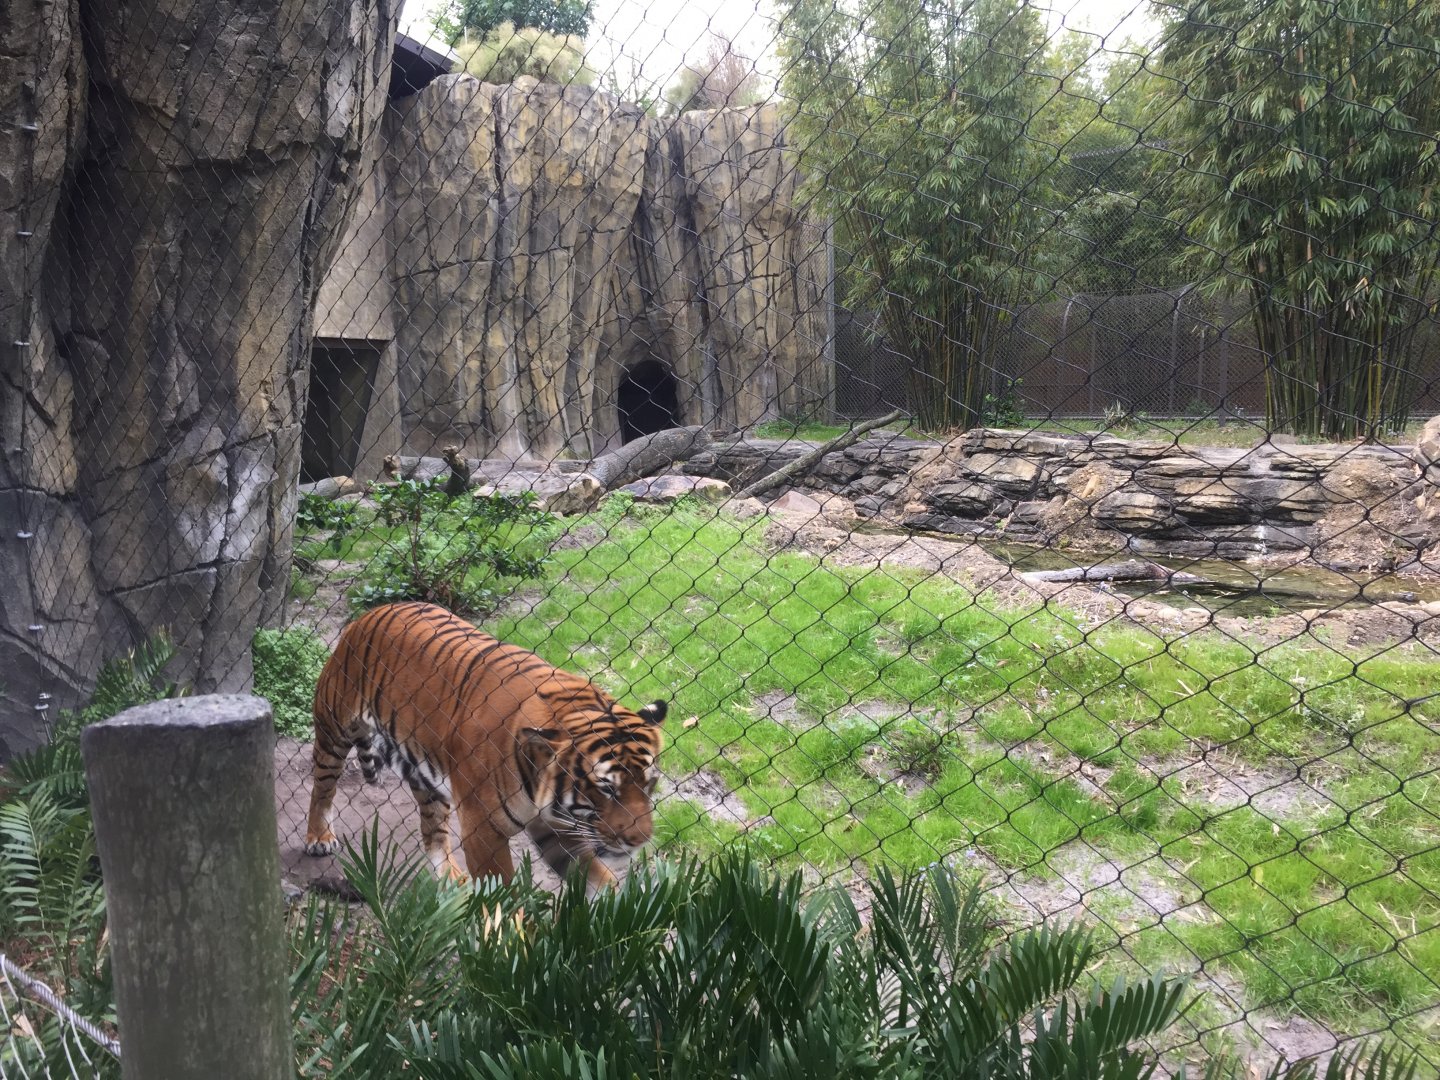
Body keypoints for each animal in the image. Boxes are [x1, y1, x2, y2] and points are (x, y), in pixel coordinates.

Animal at [302, 601, 668, 890]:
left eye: (649, 784)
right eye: (606, 789)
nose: (640, 840)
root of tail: (371, 613)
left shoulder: (558, 829)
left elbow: (600, 882)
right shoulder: (482, 829)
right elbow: (502, 896)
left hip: (426, 775)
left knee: (433, 831)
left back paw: (451, 878)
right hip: (333, 730)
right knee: (322, 786)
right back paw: (319, 838)